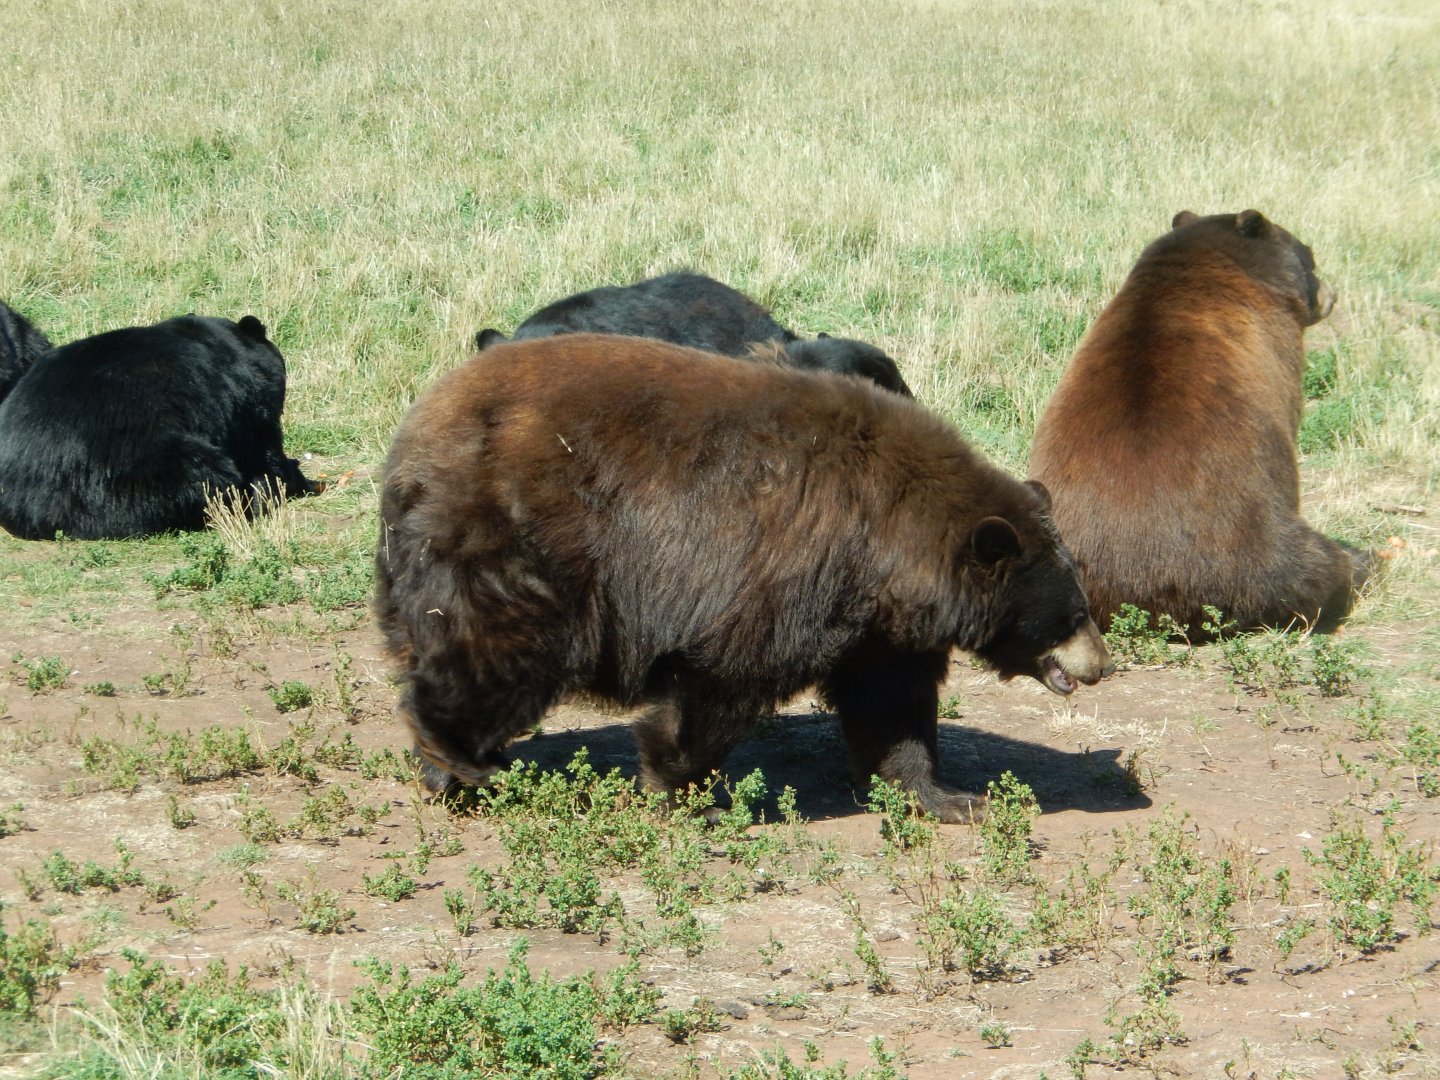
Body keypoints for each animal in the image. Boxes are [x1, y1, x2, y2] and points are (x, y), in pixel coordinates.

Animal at [0, 314, 318, 541]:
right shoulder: (246, 403)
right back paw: (253, 495)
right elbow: (264, 450)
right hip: (140, 466)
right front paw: (293, 476)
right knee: (206, 479)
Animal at [375, 333, 1113, 822]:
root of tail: (413, 438)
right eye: (1073, 612)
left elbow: (892, 704)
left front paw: (950, 796)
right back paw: (463, 758)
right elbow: (726, 675)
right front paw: (682, 785)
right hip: (515, 539)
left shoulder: (876, 627)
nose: (1103, 663)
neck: (889, 540)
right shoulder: (782, 566)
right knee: (493, 649)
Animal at [1028, 209, 1370, 635]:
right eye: (1310, 257)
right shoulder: (1279, 347)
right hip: (1259, 548)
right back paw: (1361, 561)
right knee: (1318, 568)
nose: (1331, 294)